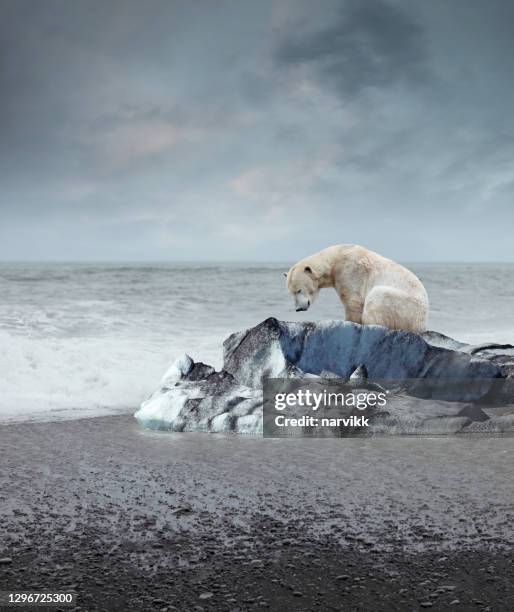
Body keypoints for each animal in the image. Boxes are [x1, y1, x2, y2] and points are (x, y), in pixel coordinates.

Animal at [284, 244, 428, 332]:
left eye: (299, 290)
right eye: (291, 293)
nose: (298, 309)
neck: (336, 257)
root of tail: (422, 323)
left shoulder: (349, 271)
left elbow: (352, 302)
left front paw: (350, 322)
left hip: (406, 306)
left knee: (378, 296)